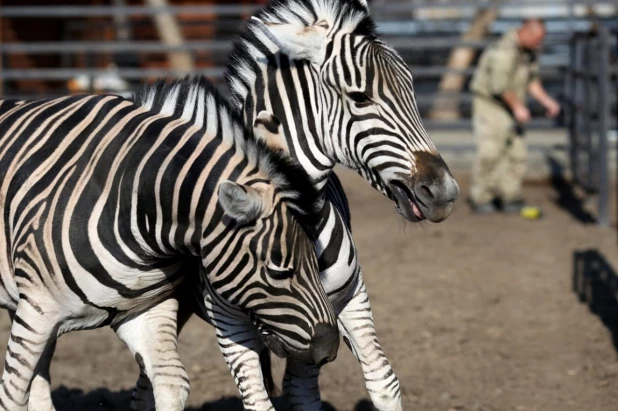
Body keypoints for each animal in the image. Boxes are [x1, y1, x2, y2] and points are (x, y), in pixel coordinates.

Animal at [0, 78, 340, 411]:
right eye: (278, 270)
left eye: (317, 262)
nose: (329, 349)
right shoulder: (39, 309)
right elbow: (12, 394)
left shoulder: (145, 309)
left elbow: (172, 384)